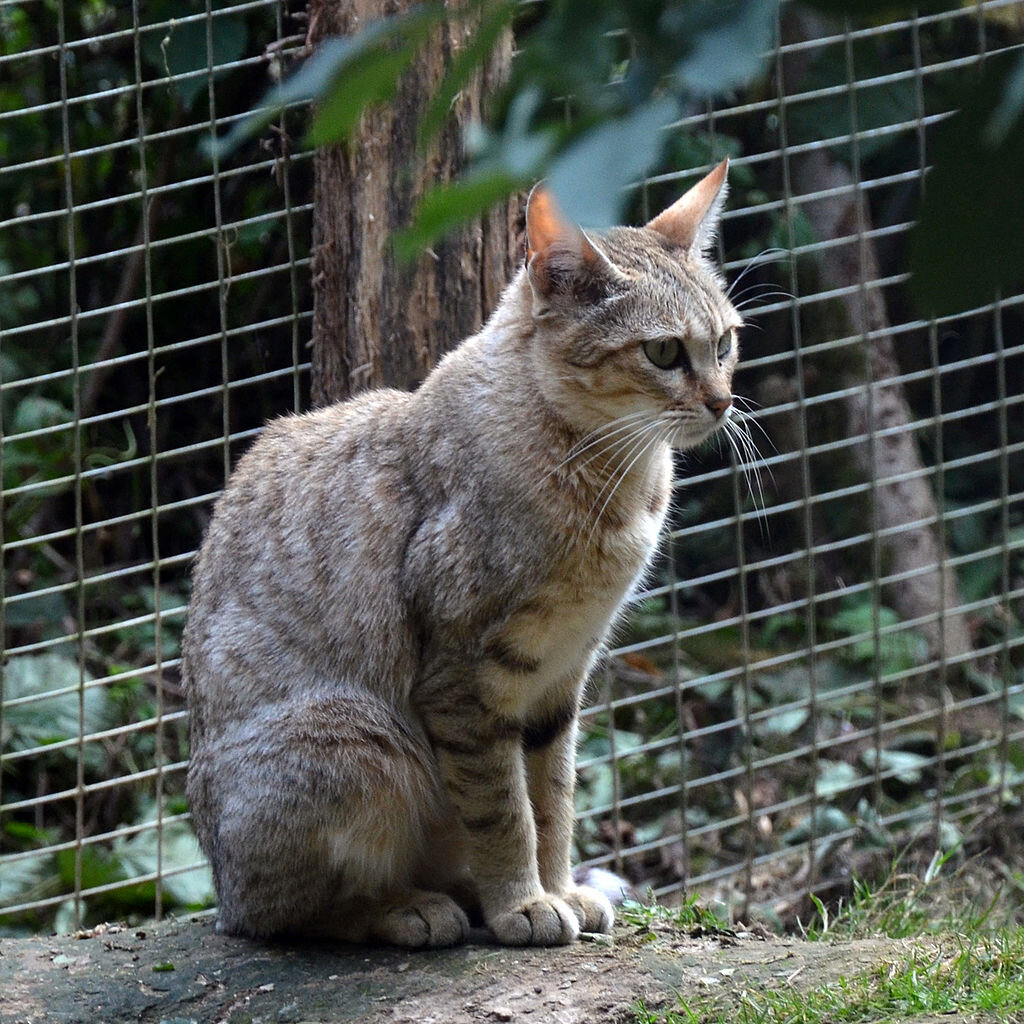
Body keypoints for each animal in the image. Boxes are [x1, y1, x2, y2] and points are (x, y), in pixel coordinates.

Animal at [184, 159, 741, 950]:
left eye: (724, 342)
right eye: (663, 351)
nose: (723, 401)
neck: (607, 475)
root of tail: (221, 884)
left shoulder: (562, 676)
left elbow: (553, 799)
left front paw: (558, 886)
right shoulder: (466, 678)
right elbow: (502, 808)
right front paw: (525, 903)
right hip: (358, 740)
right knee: (279, 914)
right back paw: (405, 907)